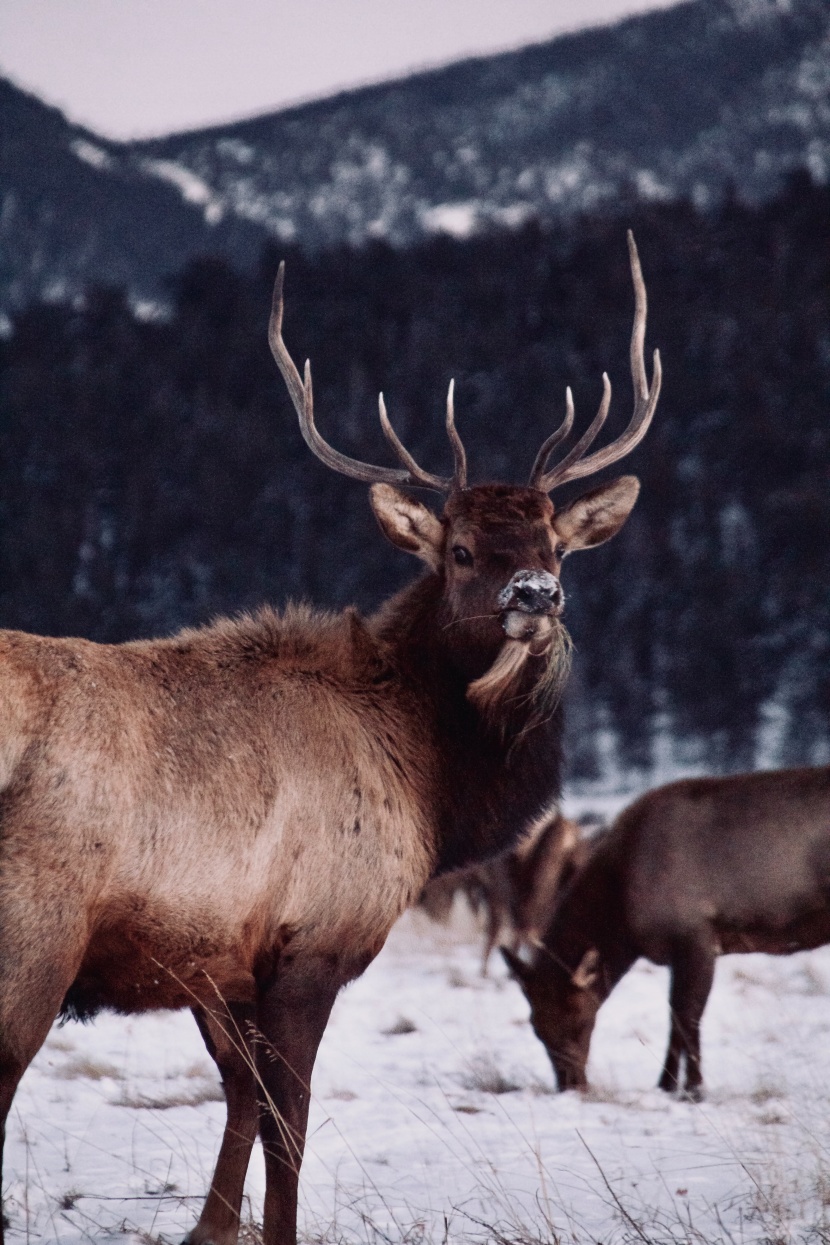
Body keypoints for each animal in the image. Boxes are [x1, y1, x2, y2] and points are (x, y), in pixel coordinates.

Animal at [0, 234, 662, 1245]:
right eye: (460, 549)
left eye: (557, 545)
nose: (535, 596)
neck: (430, 784)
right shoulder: (312, 938)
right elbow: (287, 1117)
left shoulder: (220, 958)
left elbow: (238, 1098)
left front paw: (209, 1229)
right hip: (34, 928)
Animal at [500, 766, 830, 1100]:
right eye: (536, 1026)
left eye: (580, 1019)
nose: (572, 1085)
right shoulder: (677, 953)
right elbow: (674, 1018)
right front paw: (667, 1085)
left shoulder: (698, 939)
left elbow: (688, 1018)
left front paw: (694, 1088)